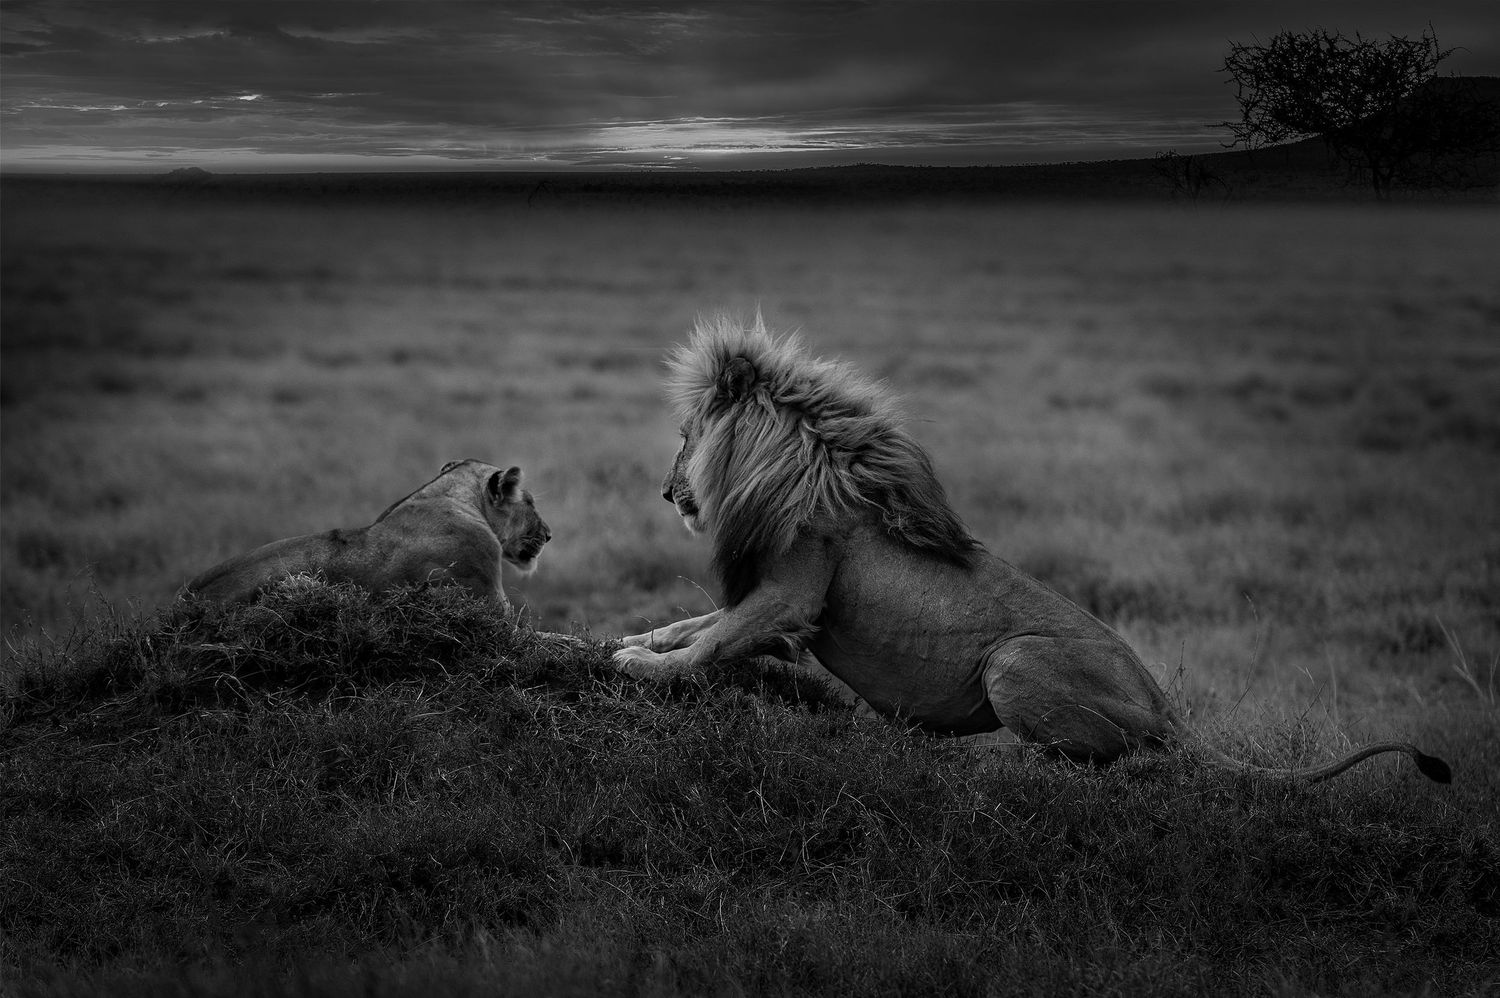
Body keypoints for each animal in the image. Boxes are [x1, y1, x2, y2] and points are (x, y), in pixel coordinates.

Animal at [614, 315, 1451, 784]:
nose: (663, 491)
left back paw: (1028, 767)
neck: (800, 465)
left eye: (685, 436)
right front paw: (633, 640)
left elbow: (712, 640)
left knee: (1122, 766)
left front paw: (643, 668)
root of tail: (1167, 706)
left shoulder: (794, 593)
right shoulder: (777, 599)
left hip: (1013, 660)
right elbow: (694, 625)